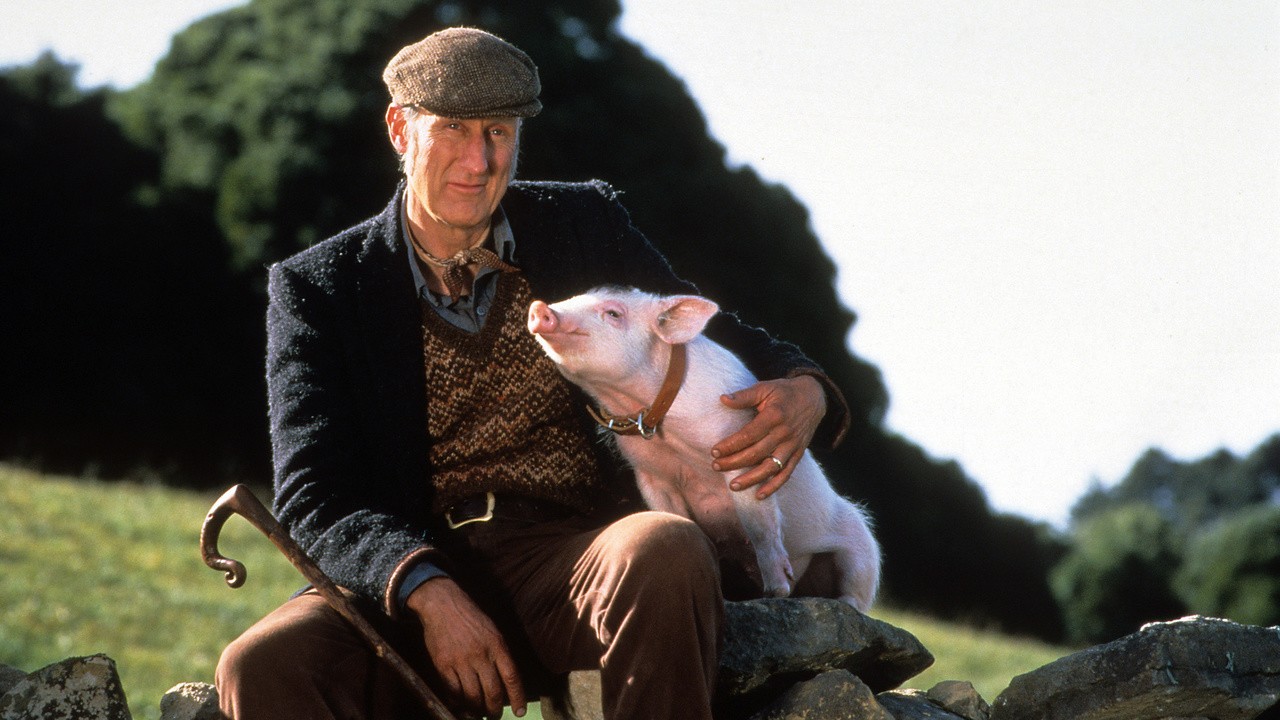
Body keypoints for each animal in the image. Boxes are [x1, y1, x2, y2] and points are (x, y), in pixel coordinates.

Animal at [528, 286, 880, 610]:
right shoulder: (651, 475)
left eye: (613, 313)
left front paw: (777, 591)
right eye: (574, 297)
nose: (540, 308)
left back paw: (836, 603)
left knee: (858, 587)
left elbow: (758, 522)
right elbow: (673, 515)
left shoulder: (741, 451)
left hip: (862, 546)